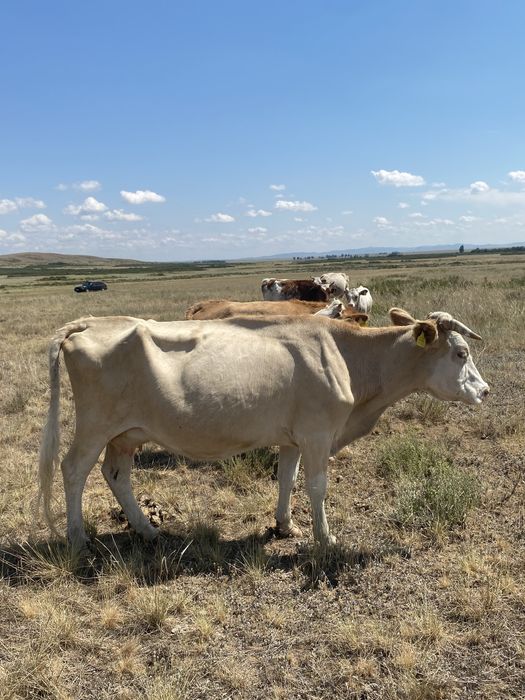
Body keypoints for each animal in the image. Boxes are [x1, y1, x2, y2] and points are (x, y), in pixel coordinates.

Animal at [38, 308, 489, 551]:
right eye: (461, 352)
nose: (484, 390)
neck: (348, 356)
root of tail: (90, 323)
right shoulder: (318, 433)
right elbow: (317, 487)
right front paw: (326, 539)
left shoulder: (293, 438)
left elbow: (287, 479)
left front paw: (285, 525)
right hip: (95, 425)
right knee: (74, 469)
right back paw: (77, 537)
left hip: (126, 434)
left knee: (116, 474)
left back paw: (148, 529)